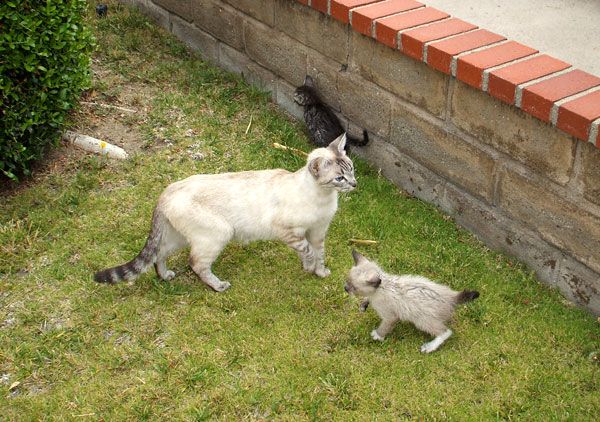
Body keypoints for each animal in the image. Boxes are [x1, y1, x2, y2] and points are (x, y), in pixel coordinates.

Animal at [95, 134, 356, 292]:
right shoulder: (290, 232)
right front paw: (309, 267)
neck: (324, 199)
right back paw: (218, 286)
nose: (354, 184)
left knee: (159, 254)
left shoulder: (318, 231)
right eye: (339, 178)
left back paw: (166, 276)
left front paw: (318, 272)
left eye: (351, 169)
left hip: (179, 238)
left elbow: (318, 253)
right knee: (196, 263)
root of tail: (167, 190)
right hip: (218, 233)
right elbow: (308, 251)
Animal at [346, 251, 478, 352]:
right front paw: (363, 305)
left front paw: (377, 336)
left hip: (422, 321)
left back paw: (429, 347)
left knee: (446, 332)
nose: (345, 288)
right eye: (347, 281)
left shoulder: (390, 317)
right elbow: (366, 299)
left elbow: (384, 327)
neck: (382, 288)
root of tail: (451, 297)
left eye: (354, 288)